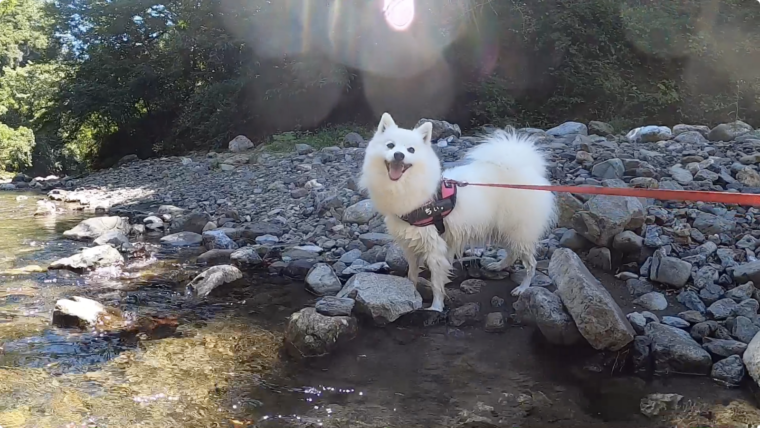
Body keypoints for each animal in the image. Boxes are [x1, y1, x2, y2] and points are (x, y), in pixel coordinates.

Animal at [360, 113, 556, 310]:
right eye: (390, 145)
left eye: (411, 150)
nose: (399, 155)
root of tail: (527, 169)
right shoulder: (410, 243)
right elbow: (412, 273)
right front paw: (411, 292)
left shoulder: (434, 247)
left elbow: (437, 284)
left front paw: (436, 308)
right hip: (503, 229)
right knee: (513, 252)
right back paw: (498, 266)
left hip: (518, 230)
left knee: (531, 263)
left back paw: (523, 288)